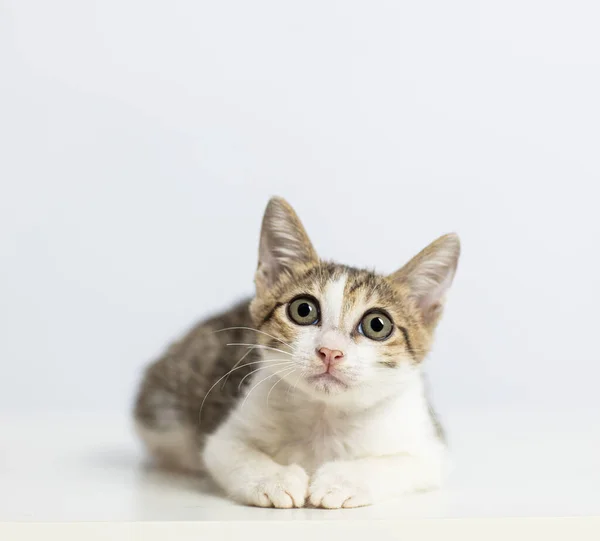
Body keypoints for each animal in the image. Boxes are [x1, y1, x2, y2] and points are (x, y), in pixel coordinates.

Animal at [134, 197, 460, 506]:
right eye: (303, 310)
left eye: (377, 325)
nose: (330, 351)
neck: (325, 416)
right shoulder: (226, 432)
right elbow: (231, 451)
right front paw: (273, 479)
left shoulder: (428, 445)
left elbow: (402, 462)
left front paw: (341, 481)